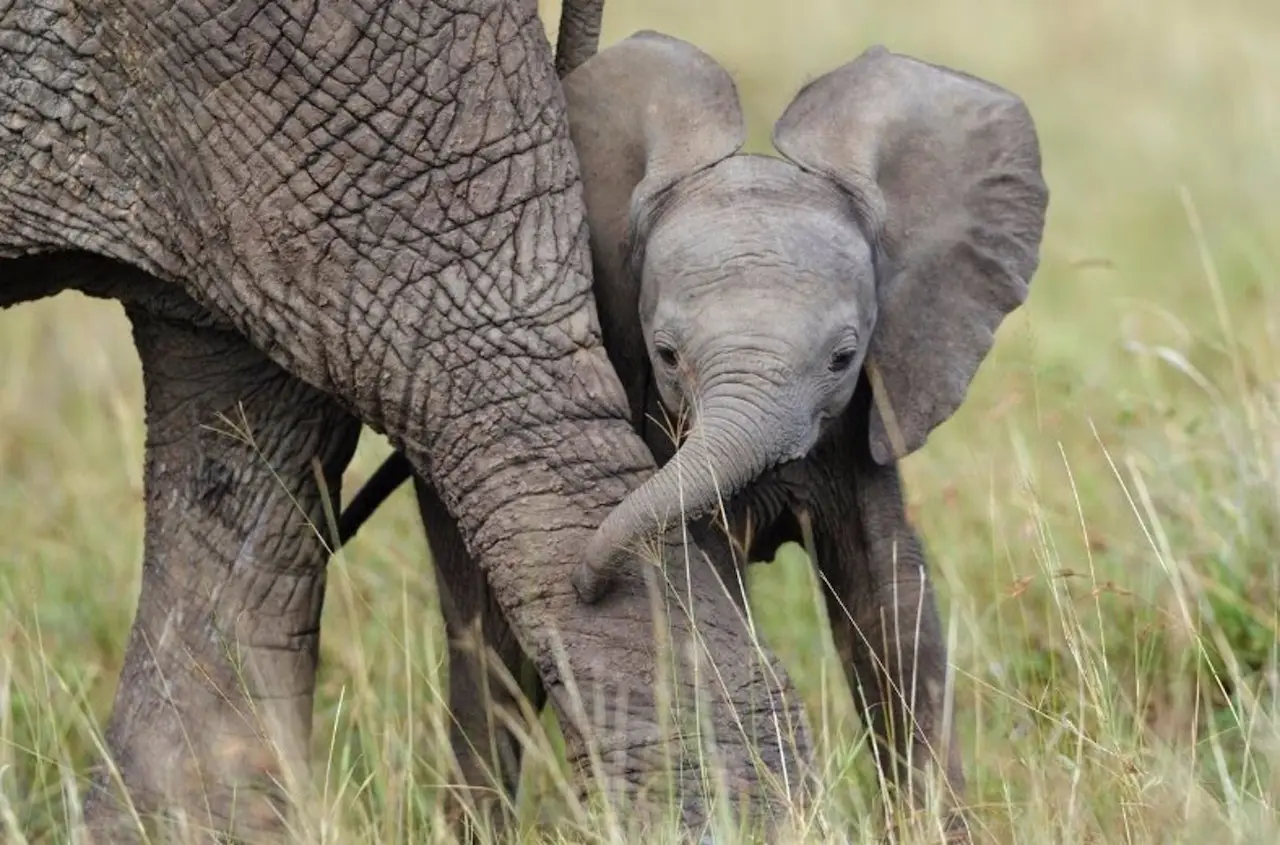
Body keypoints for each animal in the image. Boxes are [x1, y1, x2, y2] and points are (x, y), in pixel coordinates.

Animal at [343, 31, 1049, 839]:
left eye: (844, 357)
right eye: (667, 354)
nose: (588, 580)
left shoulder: (859, 423)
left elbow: (892, 598)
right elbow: (716, 573)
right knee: (487, 653)